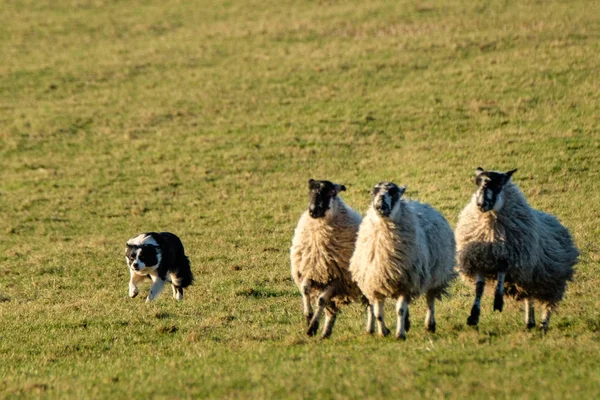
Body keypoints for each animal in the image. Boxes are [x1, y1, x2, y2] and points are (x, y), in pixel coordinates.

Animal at [290, 178, 364, 338]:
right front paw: (309, 317)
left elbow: (321, 300)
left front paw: (312, 326)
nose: (313, 210)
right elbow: (305, 289)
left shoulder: (338, 278)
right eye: (310, 191)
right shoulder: (310, 270)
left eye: (330, 192)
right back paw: (325, 333)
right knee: (331, 312)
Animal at [350, 183, 458, 340]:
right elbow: (378, 313)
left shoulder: (406, 284)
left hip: (436, 275)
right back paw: (407, 323)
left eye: (393, 192)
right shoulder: (375, 286)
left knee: (430, 300)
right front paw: (383, 333)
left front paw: (399, 334)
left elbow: (400, 310)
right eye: (373, 192)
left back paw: (429, 325)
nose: (380, 206)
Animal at [458, 166, 580, 332]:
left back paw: (543, 325)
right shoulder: (479, 260)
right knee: (529, 297)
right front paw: (473, 316)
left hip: (552, 280)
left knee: (548, 304)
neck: (491, 233)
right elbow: (479, 288)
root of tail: (556, 221)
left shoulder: (508, 257)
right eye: (477, 183)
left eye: (498, 184)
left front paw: (498, 301)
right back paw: (530, 322)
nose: (481, 204)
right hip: (529, 279)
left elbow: (501, 276)